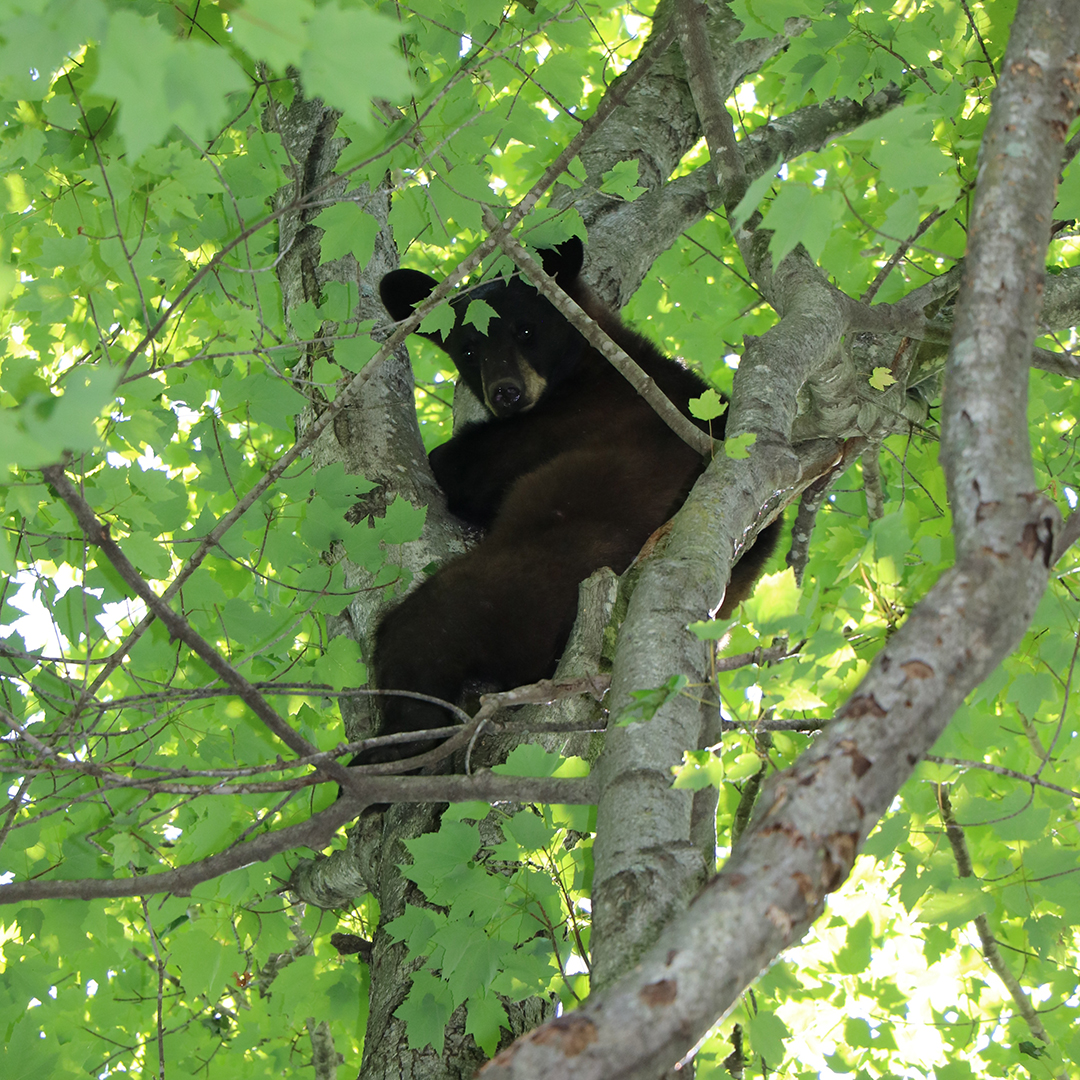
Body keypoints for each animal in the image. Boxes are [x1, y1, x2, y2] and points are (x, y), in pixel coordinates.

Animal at [368, 238, 779, 761]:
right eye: (468, 348)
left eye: (526, 330)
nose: (505, 392)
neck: (592, 361)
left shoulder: (555, 424)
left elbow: (460, 466)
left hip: (513, 588)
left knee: (420, 634)